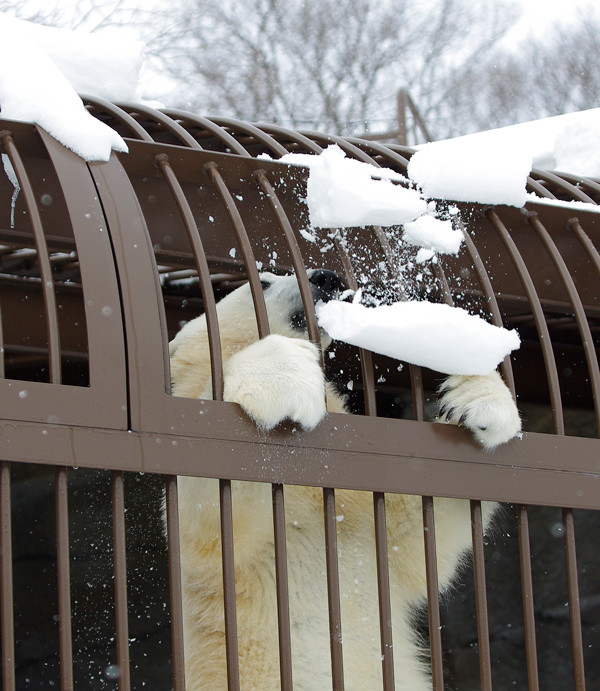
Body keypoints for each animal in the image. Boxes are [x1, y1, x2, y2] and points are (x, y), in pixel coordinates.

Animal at [169, 270, 520, 691]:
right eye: (263, 281)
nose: (326, 277)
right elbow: (212, 510)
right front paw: (279, 369)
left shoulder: (362, 515)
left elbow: (421, 534)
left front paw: (474, 399)